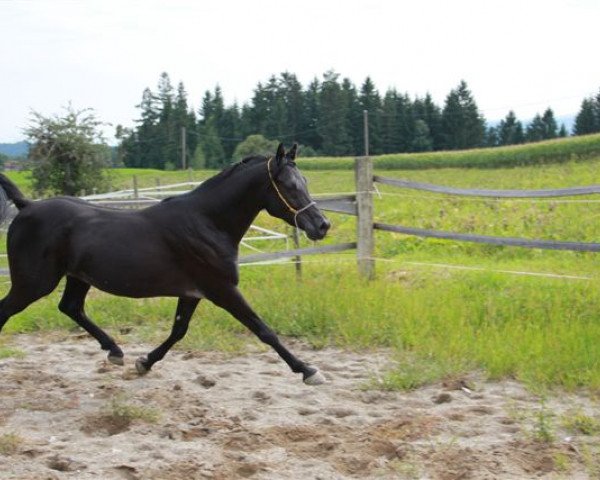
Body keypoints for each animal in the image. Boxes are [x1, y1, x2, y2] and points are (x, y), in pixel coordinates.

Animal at [0, 144, 328, 384]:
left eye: (306, 181)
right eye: (289, 185)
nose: (322, 225)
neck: (207, 222)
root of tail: (27, 206)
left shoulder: (193, 292)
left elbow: (178, 330)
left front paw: (144, 362)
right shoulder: (222, 289)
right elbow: (263, 329)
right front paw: (308, 370)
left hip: (77, 277)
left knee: (71, 307)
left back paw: (115, 351)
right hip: (33, 283)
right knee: (10, 309)